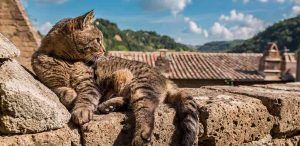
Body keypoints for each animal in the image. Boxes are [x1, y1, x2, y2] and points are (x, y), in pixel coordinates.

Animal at [31, 10, 200, 146]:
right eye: (97, 40)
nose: (104, 50)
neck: (66, 61)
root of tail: (163, 77)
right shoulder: (50, 83)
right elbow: (60, 90)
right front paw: (70, 95)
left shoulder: (89, 85)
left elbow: (86, 98)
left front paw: (81, 110)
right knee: (128, 102)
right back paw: (108, 106)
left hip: (140, 86)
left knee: (146, 109)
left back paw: (141, 134)